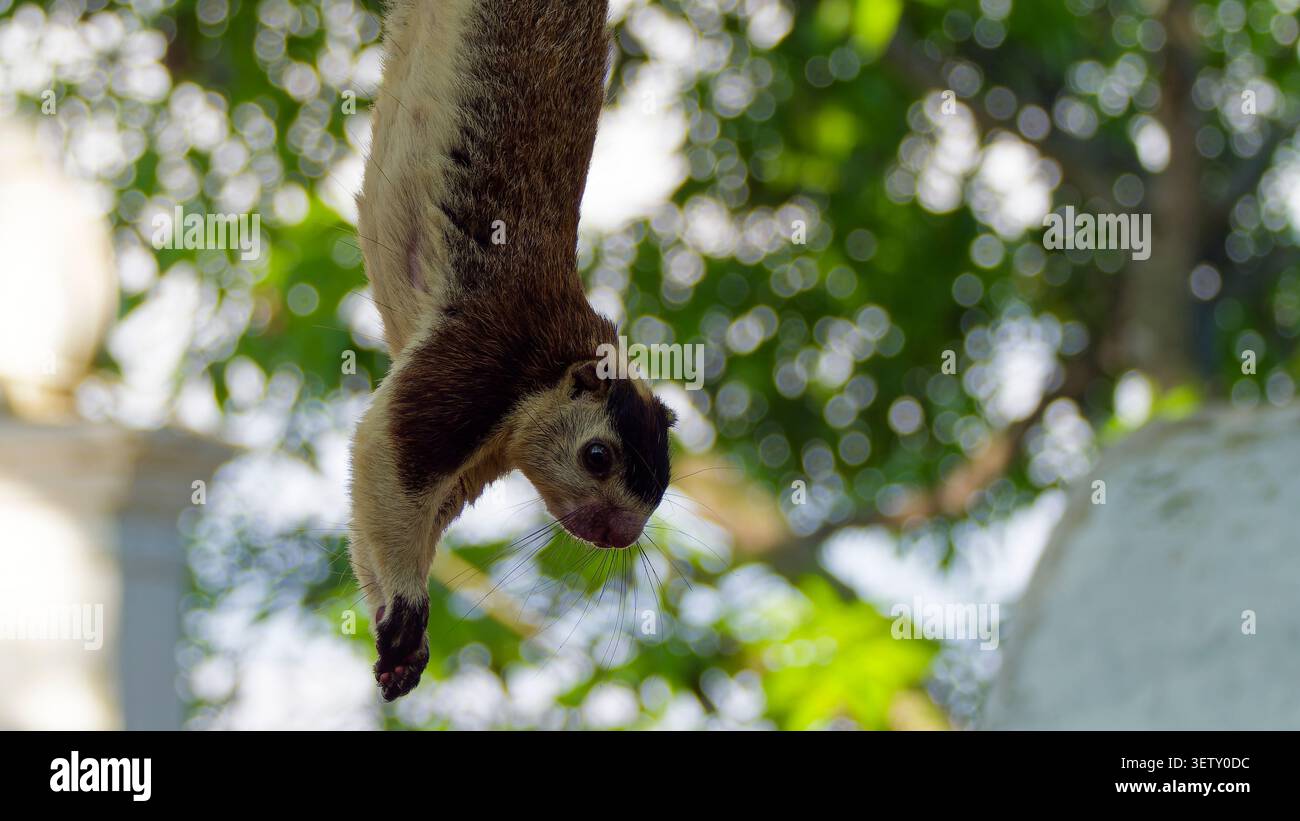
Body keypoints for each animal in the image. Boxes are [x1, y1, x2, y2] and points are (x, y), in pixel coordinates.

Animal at [349, 0, 676, 701]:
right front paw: (407, 609)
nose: (618, 535)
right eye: (597, 457)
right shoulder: (477, 365)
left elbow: (391, 511)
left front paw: (398, 642)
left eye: (663, 483)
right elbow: (387, 457)